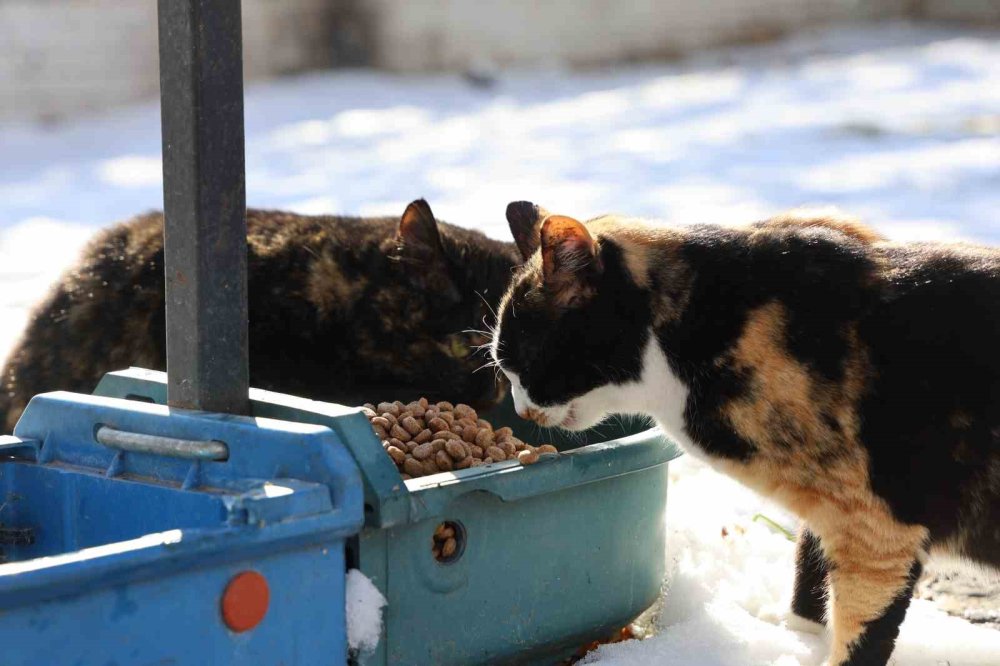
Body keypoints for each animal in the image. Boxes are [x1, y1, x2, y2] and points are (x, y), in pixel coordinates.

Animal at [492, 201, 1000, 664]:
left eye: (523, 359)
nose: (520, 408)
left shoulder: (876, 531)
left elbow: (862, 632)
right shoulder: (830, 512)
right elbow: (808, 572)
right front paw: (792, 643)